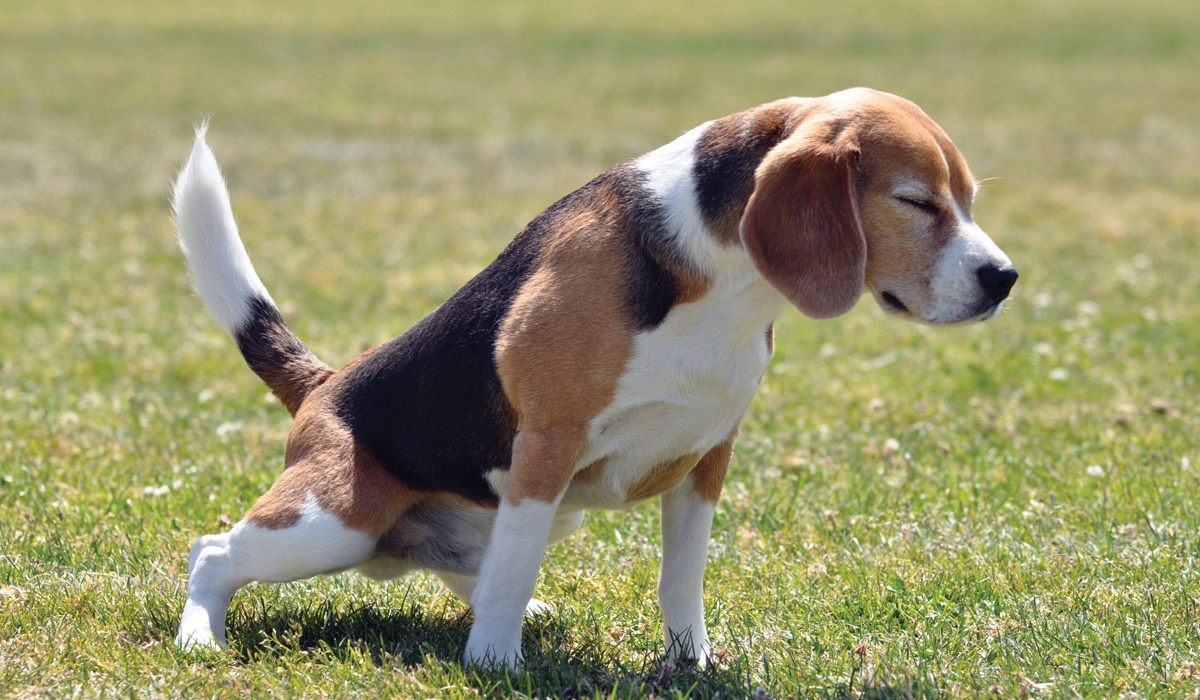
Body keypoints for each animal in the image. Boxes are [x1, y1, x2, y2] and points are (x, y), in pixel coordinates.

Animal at [171, 87, 1012, 667]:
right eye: (917, 201)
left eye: (969, 199)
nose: (1004, 278)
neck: (724, 283)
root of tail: (326, 384)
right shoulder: (547, 442)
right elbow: (513, 569)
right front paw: (494, 663)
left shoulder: (707, 457)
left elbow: (680, 577)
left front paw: (690, 660)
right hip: (333, 521)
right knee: (214, 552)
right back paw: (200, 638)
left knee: (475, 561)